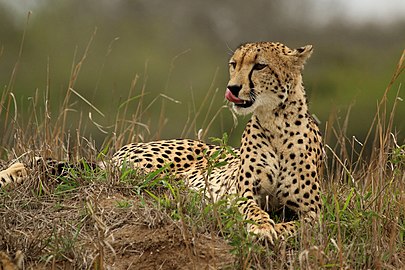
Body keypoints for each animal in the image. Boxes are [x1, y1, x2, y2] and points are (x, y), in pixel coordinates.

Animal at [0, 41, 322, 243]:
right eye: (234, 64)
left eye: (260, 66)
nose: (232, 88)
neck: (276, 122)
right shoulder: (242, 193)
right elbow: (255, 210)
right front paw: (262, 227)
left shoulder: (313, 213)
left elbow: (301, 229)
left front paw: (275, 229)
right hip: (139, 170)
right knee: (67, 167)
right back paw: (12, 173)